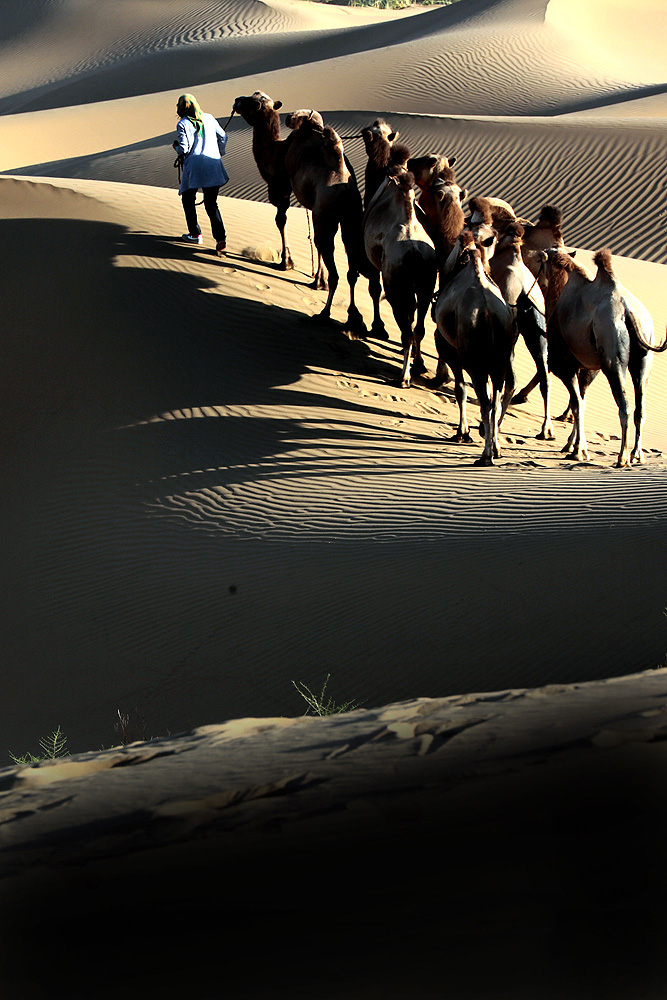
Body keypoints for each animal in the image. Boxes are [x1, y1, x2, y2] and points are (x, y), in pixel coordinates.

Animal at [234, 89, 294, 268]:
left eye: (253, 103)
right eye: (256, 92)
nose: (237, 100)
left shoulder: (280, 189)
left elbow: (280, 220)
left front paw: (286, 261)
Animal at [366, 168, 438, 386]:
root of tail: (414, 253)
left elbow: (374, 290)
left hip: (397, 289)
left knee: (406, 331)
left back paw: (403, 377)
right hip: (426, 287)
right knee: (419, 328)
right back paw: (418, 366)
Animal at [544, 250, 667, 468]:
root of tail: (629, 312)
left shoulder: (564, 365)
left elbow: (577, 404)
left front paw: (578, 452)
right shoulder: (588, 368)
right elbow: (581, 401)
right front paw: (574, 446)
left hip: (612, 354)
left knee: (624, 406)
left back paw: (622, 458)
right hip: (644, 354)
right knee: (640, 407)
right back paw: (637, 455)